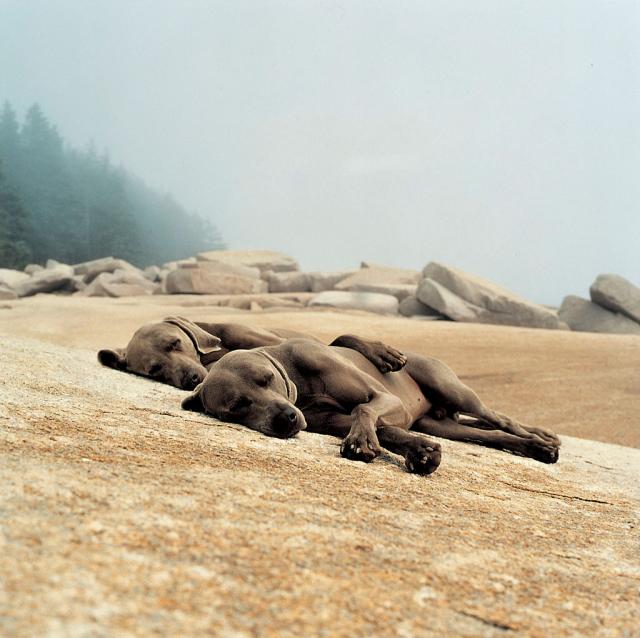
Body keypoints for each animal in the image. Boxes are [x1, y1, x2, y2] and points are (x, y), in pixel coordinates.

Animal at [180, 340, 560, 476]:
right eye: (238, 406)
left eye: (266, 378)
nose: (286, 418)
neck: (298, 380)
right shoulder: (327, 419)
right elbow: (387, 430)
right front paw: (421, 452)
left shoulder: (385, 399)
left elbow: (365, 411)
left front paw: (360, 443)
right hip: (441, 423)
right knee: (491, 434)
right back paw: (534, 448)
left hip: (451, 388)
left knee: (500, 418)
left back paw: (544, 442)